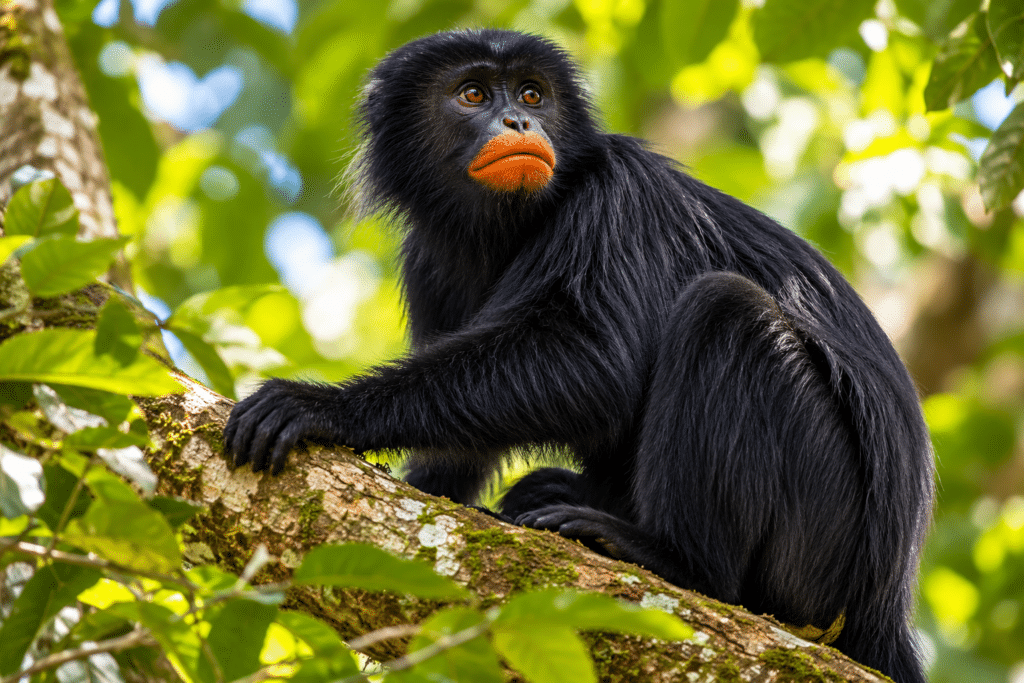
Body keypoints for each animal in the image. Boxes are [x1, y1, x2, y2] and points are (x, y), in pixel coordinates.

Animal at [224, 29, 933, 683]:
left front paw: (326, 408)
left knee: (727, 310)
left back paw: (673, 560)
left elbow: (596, 366)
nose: (518, 121)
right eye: (474, 94)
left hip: (822, 542)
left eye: (532, 95)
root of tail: (883, 607)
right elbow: (459, 453)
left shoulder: (617, 194)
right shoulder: (429, 257)